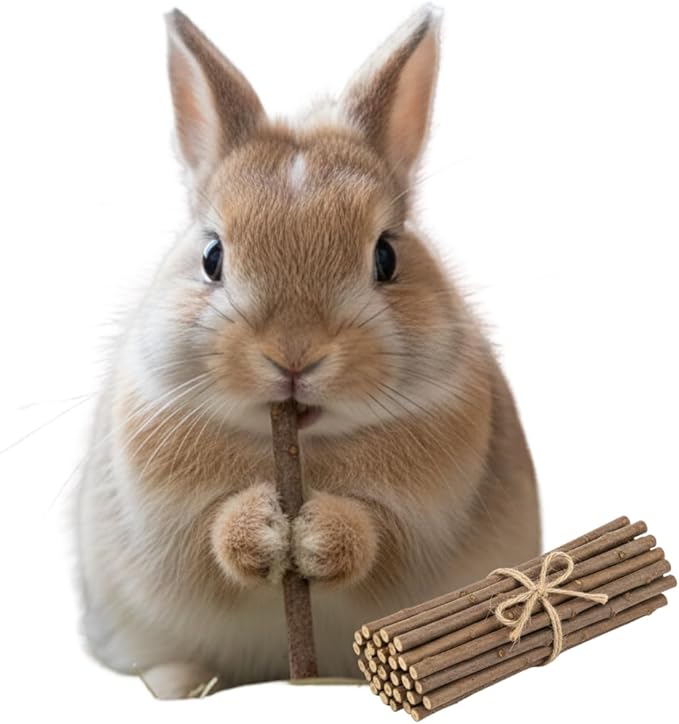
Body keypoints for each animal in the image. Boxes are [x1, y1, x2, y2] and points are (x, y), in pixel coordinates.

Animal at [74, 5, 541, 699]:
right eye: (211, 255)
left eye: (387, 256)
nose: (293, 355)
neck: (304, 443)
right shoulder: (168, 522)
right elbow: (210, 538)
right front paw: (266, 530)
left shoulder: (419, 524)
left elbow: (376, 537)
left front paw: (317, 534)